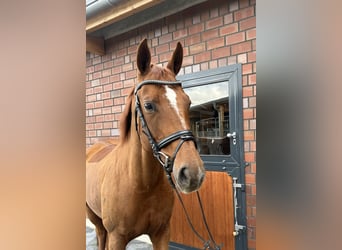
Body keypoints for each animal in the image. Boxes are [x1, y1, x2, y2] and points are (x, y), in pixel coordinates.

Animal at [85, 38, 206, 248]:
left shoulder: (162, 233)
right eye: (149, 105)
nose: (193, 173)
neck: (141, 184)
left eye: (188, 102)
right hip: (95, 218)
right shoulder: (117, 238)